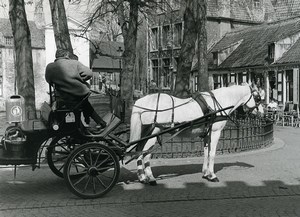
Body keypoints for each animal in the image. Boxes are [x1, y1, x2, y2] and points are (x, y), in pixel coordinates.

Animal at [129, 85, 262, 185]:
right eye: (258, 98)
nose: (262, 112)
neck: (218, 102)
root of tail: (141, 101)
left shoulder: (207, 134)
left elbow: (206, 153)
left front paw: (206, 173)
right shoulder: (215, 132)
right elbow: (212, 154)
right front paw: (212, 175)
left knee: (139, 151)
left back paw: (142, 177)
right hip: (152, 133)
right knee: (145, 154)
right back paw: (150, 178)